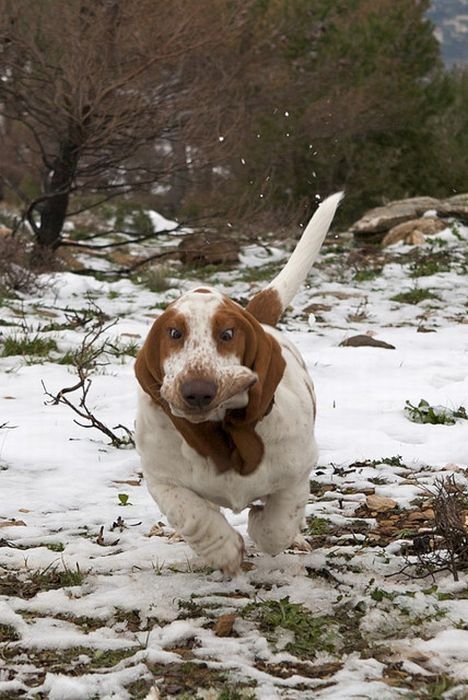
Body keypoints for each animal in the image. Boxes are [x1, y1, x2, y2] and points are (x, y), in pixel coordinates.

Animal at [133, 193, 342, 576]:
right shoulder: (162, 479)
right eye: (174, 333)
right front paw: (224, 551)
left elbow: (278, 522)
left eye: (228, 334)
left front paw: (263, 527)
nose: (197, 392)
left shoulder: (297, 473)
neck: (222, 430)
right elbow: (192, 515)